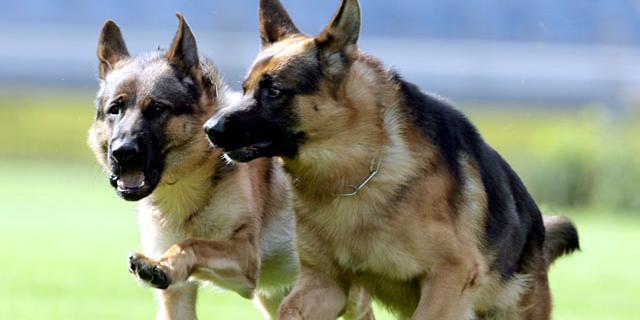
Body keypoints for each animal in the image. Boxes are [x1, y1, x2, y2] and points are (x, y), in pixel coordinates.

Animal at [88, 15, 300, 320]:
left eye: (157, 109)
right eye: (115, 109)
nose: (122, 153)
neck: (184, 186)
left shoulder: (245, 256)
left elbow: (192, 243)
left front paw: (162, 265)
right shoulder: (176, 296)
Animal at [205, 1, 580, 318]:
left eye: (274, 91)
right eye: (246, 88)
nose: (210, 128)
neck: (352, 170)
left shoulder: (449, 278)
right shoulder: (323, 285)